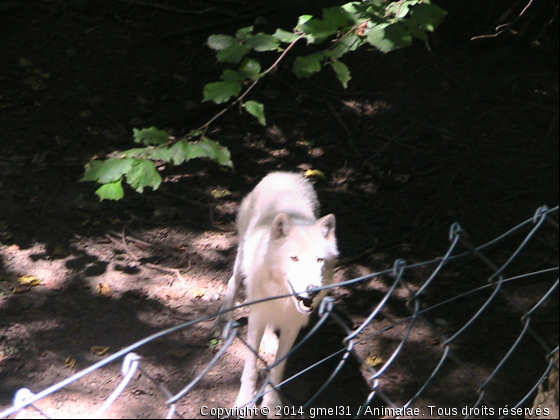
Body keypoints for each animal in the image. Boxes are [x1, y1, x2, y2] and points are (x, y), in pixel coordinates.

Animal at [214, 171, 336, 414]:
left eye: (320, 260)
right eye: (294, 258)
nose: (312, 290)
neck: (283, 299)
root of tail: (284, 173)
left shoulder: (293, 326)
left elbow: (278, 369)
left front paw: (272, 405)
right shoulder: (256, 319)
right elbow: (250, 369)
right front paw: (244, 402)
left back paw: (269, 340)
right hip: (241, 258)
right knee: (233, 282)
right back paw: (225, 319)